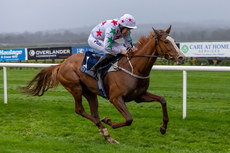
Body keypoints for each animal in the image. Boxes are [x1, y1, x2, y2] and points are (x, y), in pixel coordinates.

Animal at [21, 25, 185, 144]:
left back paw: (106, 134)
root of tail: (61, 64)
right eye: (166, 42)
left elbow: (162, 100)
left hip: (90, 92)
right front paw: (110, 121)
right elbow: (129, 119)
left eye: (174, 40)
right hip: (75, 87)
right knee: (80, 110)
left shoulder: (140, 96)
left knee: (93, 112)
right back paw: (105, 128)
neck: (134, 67)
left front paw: (163, 127)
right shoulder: (115, 98)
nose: (182, 57)